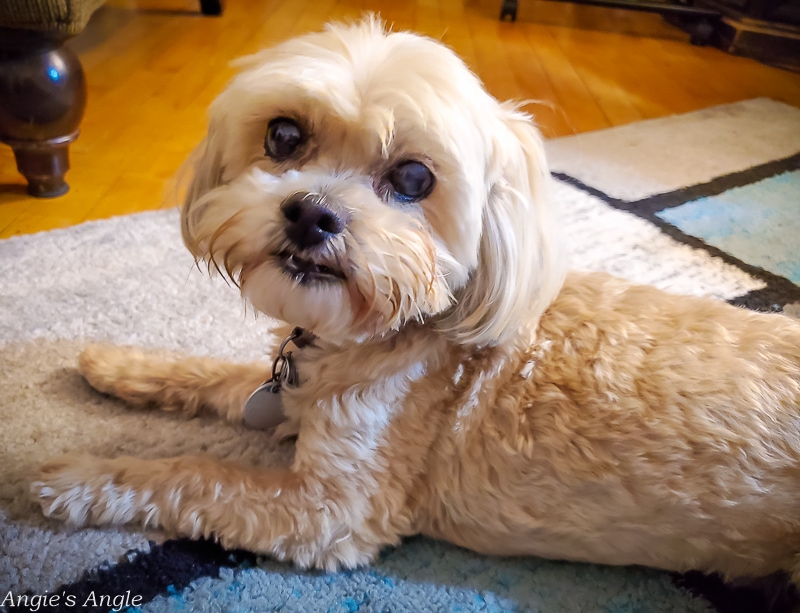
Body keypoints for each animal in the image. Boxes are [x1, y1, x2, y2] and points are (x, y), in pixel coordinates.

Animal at [32, 17, 800, 584]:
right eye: (284, 134)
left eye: (413, 178)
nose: (312, 214)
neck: (392, 333)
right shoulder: (290, 392)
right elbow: (214, 375)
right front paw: (119, 364)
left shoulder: (329, 509)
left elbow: (196, 473)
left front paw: (82, 476)